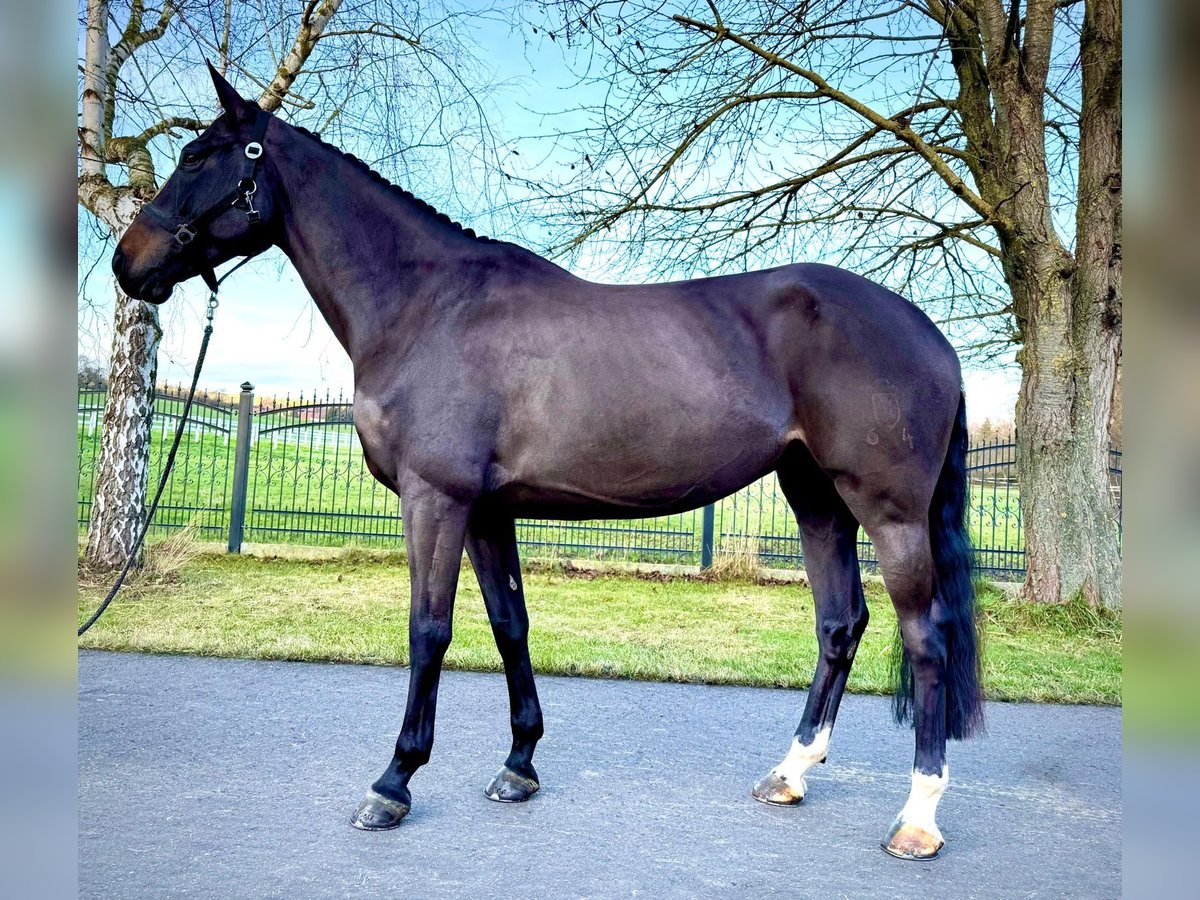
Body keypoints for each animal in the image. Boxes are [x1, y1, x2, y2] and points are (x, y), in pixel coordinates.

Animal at [112, 66, 979, 864]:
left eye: (198, 156)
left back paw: (917, 819)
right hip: (815, 498)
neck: (426, 308)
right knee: (841, 623)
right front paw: (519, 766)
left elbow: (429, 629)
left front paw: (393, 783)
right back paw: (789, 773)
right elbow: (509, 625)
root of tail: (927, 332)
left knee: (925, 635)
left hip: (889, 512)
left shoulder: (436, 499)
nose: (128, 264)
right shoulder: (489, 509)